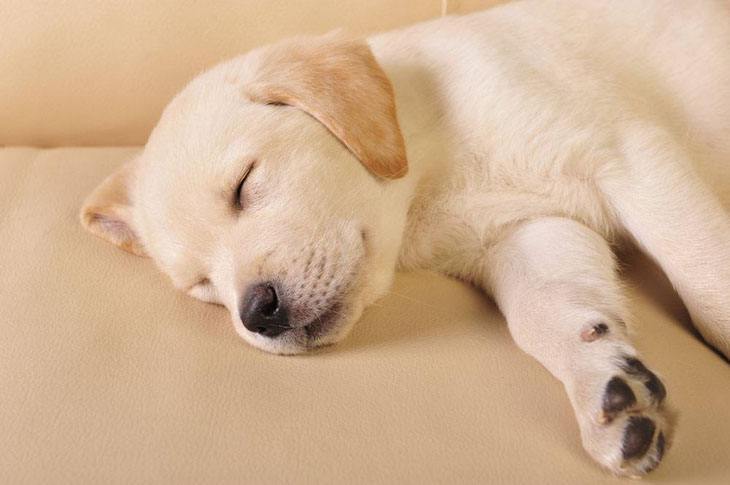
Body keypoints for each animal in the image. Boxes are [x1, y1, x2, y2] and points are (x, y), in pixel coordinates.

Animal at [78, 0, 728, 476]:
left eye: (244, 184)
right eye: (202, 285)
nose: (257, 313)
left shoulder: (630, 154)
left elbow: (705, 279)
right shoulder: (529, 231)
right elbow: (548, 314)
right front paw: (605, 385)